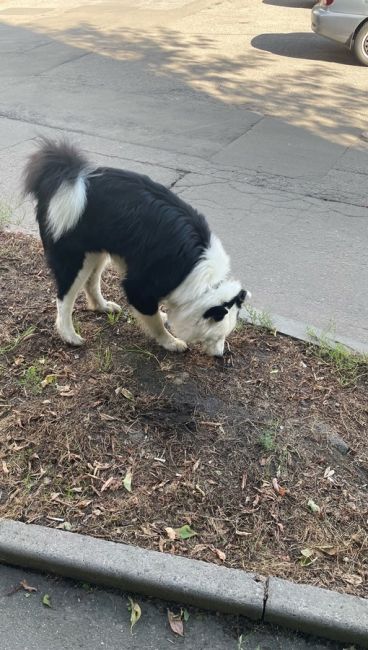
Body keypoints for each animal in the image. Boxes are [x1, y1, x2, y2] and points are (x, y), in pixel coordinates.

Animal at [24, 138, 250, 354]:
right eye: (217, 336)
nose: (220, 355)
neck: (206, 284)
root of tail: (74, 175)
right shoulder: (139, 286)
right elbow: (155, 321)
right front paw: (170, 341)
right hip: (73, 259)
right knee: (64, 299)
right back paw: (69, 335)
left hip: (97, 252)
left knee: (91, 283)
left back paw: (102, 306)